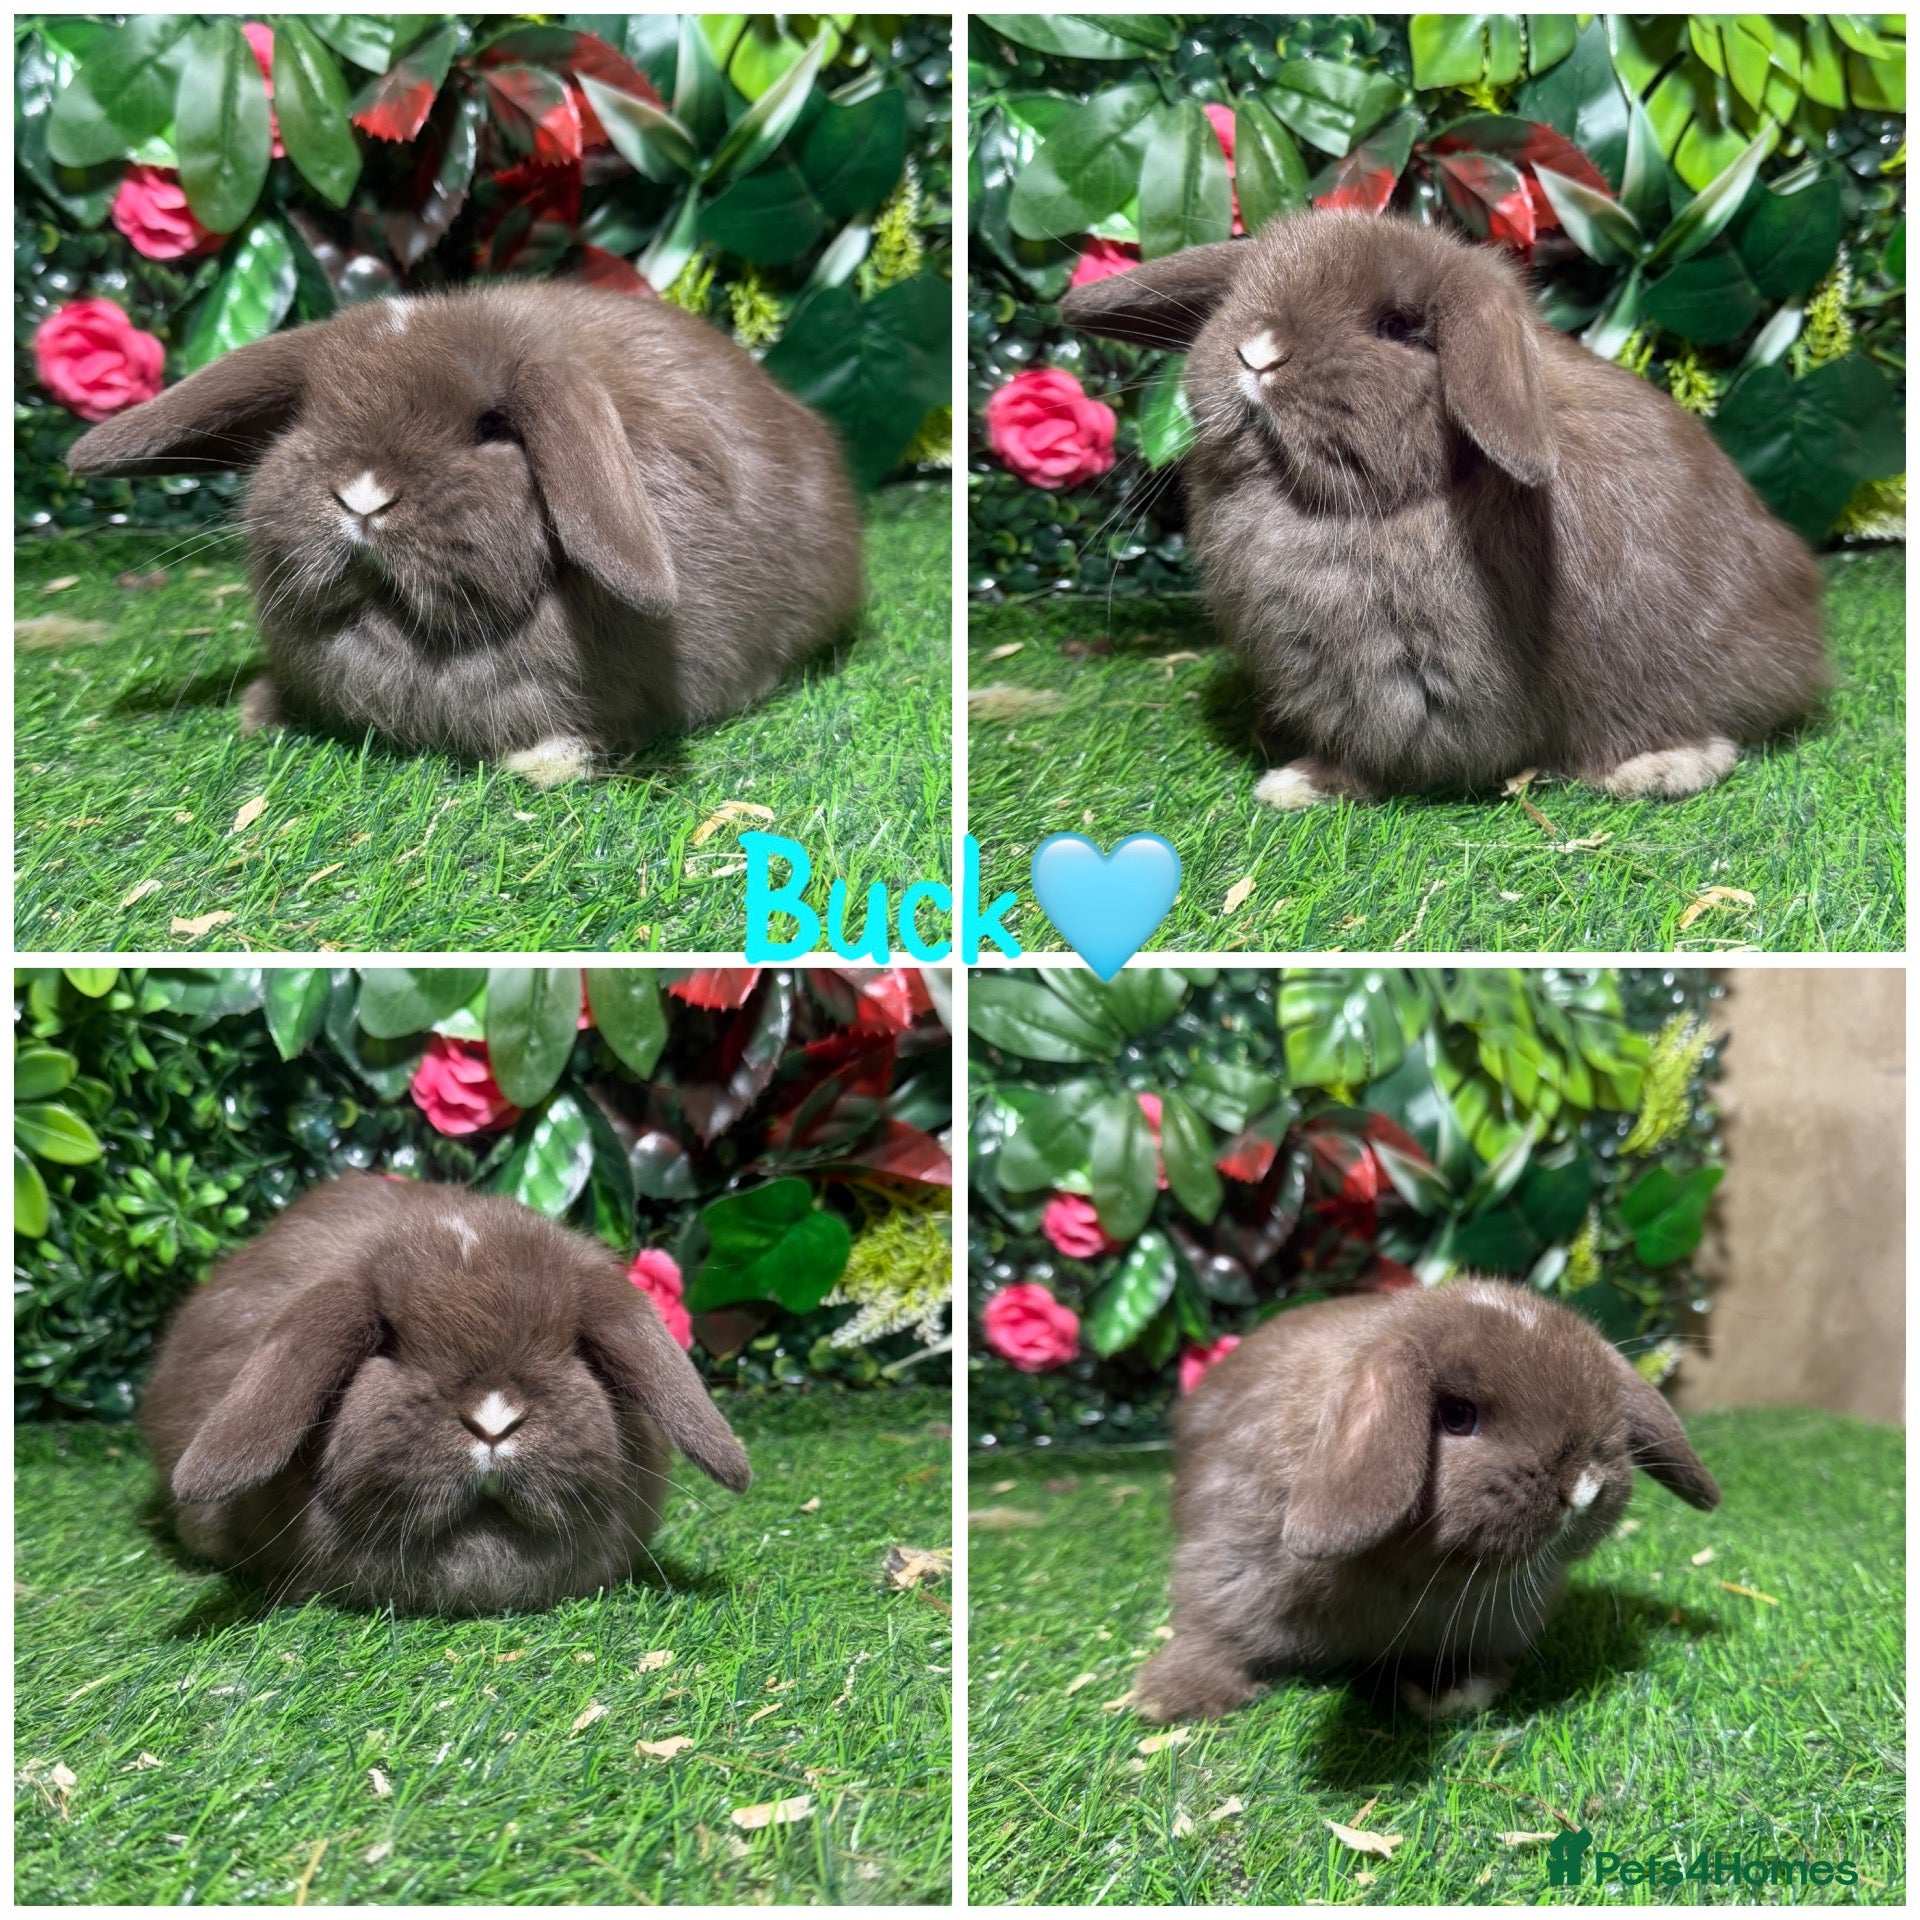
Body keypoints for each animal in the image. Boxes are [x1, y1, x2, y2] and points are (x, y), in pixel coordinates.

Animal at [1060, 212, 1826, 808]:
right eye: (1237, 298)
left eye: (1398, 325)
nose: (1256, 352)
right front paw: (1304, 781)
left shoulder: (1402, 683)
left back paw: (1659, 766)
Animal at [1134, 1280, 1720, 1723]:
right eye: (1457, 1416)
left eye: (1609, 1408)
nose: (1585, 1486)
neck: (1419, 1582)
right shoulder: (1225, 1572)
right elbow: (1213, 1633)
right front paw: (1172, 1698)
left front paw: (1445, 1695)